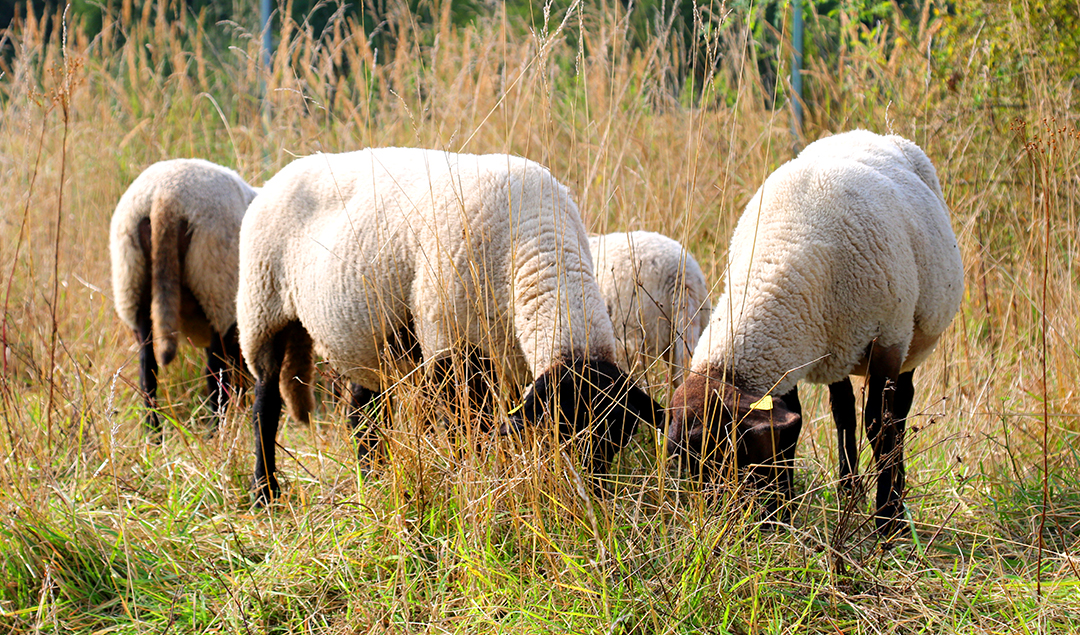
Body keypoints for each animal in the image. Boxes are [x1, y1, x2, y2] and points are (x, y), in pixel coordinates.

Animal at [110, 158, 258, 434]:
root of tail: (165, 197)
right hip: (216, 286)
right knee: (214, 372)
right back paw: (215, 430)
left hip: (132, 281)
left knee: (148, 372)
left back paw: (154, 433)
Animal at [237, 148, 664, 504]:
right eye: (565, 435)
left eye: (618, 440)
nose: (593, 498)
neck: (537, 242)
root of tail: (288, 169)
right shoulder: (449, 342)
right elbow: (467, 429)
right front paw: (473, 482)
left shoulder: (510, 358)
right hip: (262, 308)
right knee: (265, 406)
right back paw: (265, 491)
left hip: (364, 331)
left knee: (363, 412)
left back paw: (372, 477)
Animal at [666, 130, 964, 534]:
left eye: (729, 453)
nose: (715, 523)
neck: (783, 251)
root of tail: (872, 133)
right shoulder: (786, 356)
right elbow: (794, 426)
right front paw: (782, 511)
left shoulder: (888, 340)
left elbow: (880, 428)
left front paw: (887, 520)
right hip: (838, 348)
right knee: (844, 411)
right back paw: (848, 490)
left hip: (910, 340)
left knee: (899, 411)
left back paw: (893, 502)